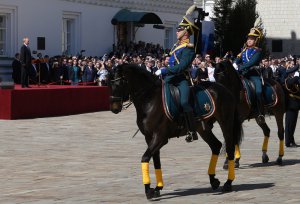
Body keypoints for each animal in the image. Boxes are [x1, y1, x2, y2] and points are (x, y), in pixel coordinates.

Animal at [110, 63, 244, 199]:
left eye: (119, 83)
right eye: (110, 84)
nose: (114, 108)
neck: (149, 100)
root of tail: (225, 89)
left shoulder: (160, 137)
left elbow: (145, 157)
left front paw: (148, 190)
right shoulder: (149, 138)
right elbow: (156, 161)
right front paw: (157, 188)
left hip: (226, 123)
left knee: (230, 148)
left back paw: (228, 182)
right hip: (203, 129)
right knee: (216, 145)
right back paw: (213, 180)